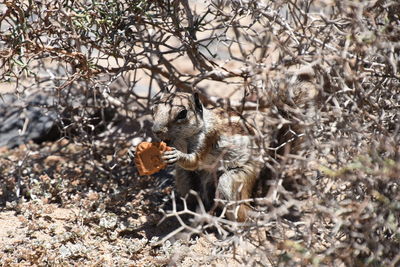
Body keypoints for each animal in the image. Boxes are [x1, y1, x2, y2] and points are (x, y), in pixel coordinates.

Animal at [151, 92, 262, 222]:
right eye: (154, 108)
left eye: (182, 113)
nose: (156, 130)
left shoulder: (207, 139)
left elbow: (194, 161)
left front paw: (176, 155)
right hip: (184, 177)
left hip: (236, 177)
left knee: (241, 213)